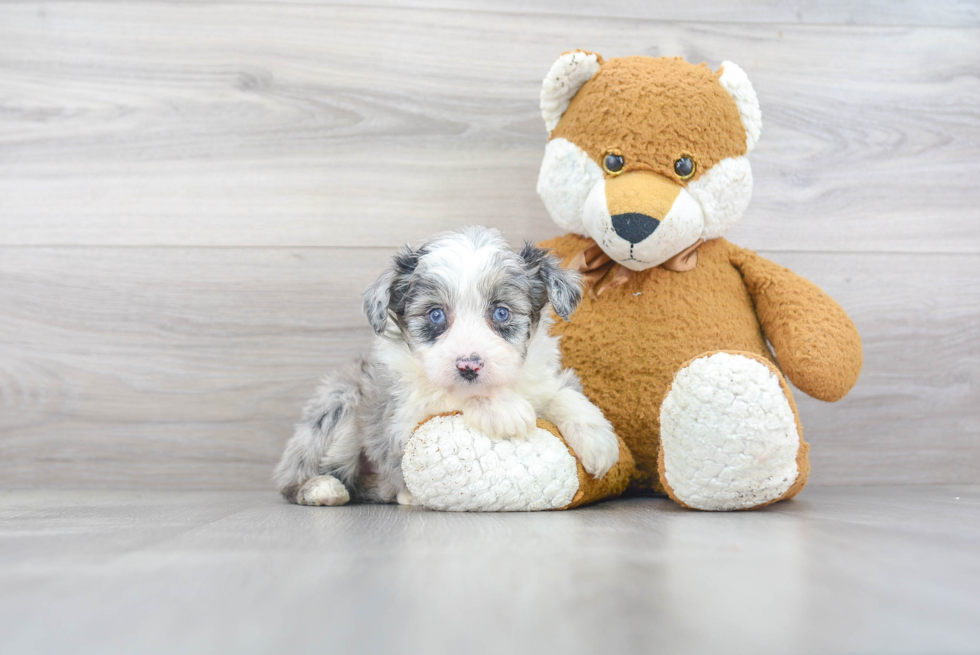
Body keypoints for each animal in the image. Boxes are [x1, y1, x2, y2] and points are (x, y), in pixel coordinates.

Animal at [272, 226, 616, 508]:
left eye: (501, 312)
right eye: (436, 315)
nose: (468, 365)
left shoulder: (539, 377)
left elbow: (561, 394)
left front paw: (598, 439)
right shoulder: (400, 417)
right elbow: (446, 393)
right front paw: (502, 408)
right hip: (341, 404)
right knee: (292, 479)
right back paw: (322, 488)